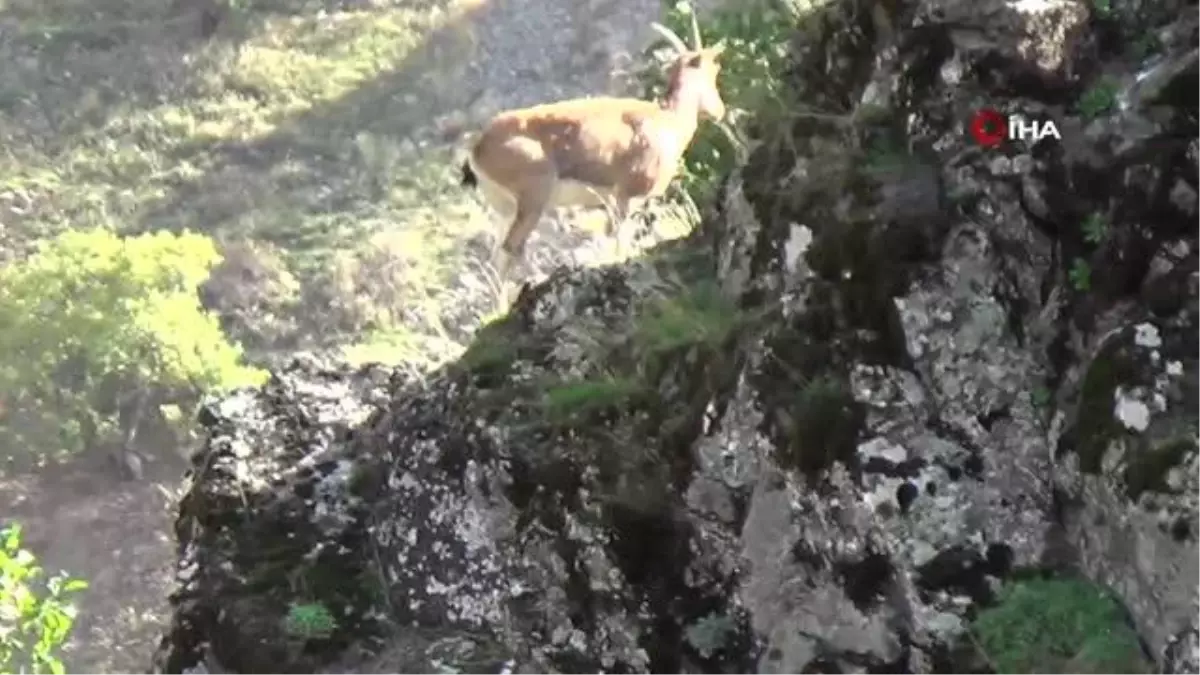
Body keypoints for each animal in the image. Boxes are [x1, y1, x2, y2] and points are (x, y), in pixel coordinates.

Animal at [458, 13, 724, 276]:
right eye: (712, 73)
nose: (719, 111)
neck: (666, 121)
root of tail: (479, 146)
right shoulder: (627, 196)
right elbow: (619, 242)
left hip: (505, 209)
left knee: (496, 258)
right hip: (533, 198)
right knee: (511, 248)